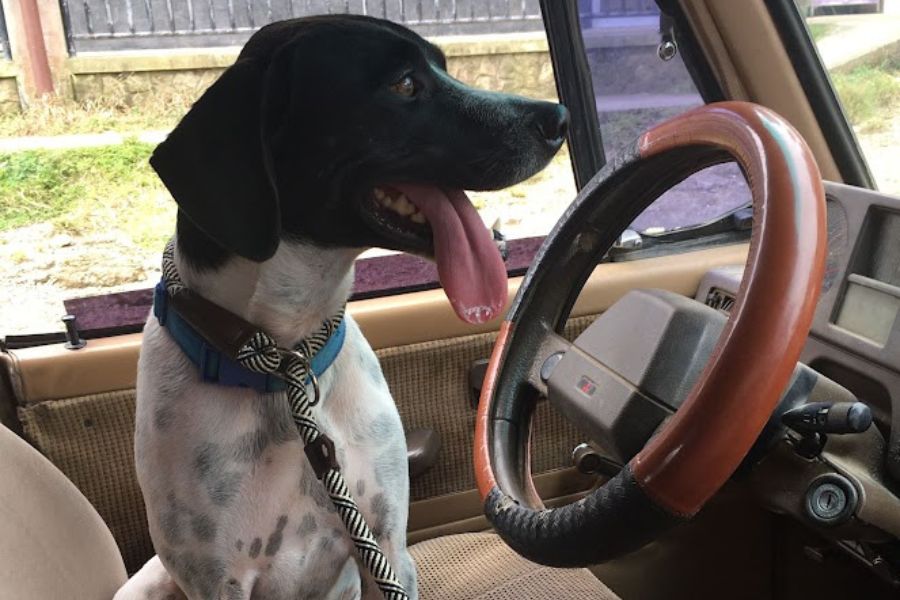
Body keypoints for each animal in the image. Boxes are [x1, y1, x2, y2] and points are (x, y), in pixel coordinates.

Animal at [116, 15, 568, 600]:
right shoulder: (217, 581)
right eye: (404, 84)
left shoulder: (386, 547)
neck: (285, 361)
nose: (557, 117)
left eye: (443, 67)